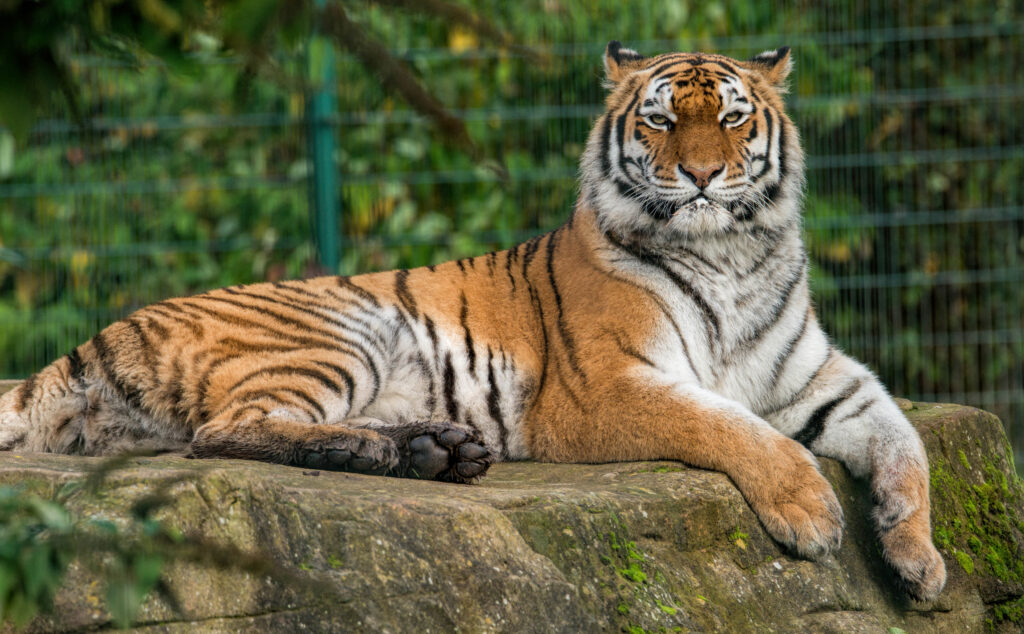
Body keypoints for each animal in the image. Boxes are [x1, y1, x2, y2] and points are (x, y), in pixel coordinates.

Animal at [0, 43, 942, 602]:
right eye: (662, 119)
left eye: (736, 118)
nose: (705, 176)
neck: (733, 255)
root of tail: (89, 343)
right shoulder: (603, 388)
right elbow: (730, 426)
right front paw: (811, 513)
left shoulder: (824, 381)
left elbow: (904, 442)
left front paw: (918, 559)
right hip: (340, 334)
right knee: (224, 432)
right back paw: (387, 452)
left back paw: (434, 449)